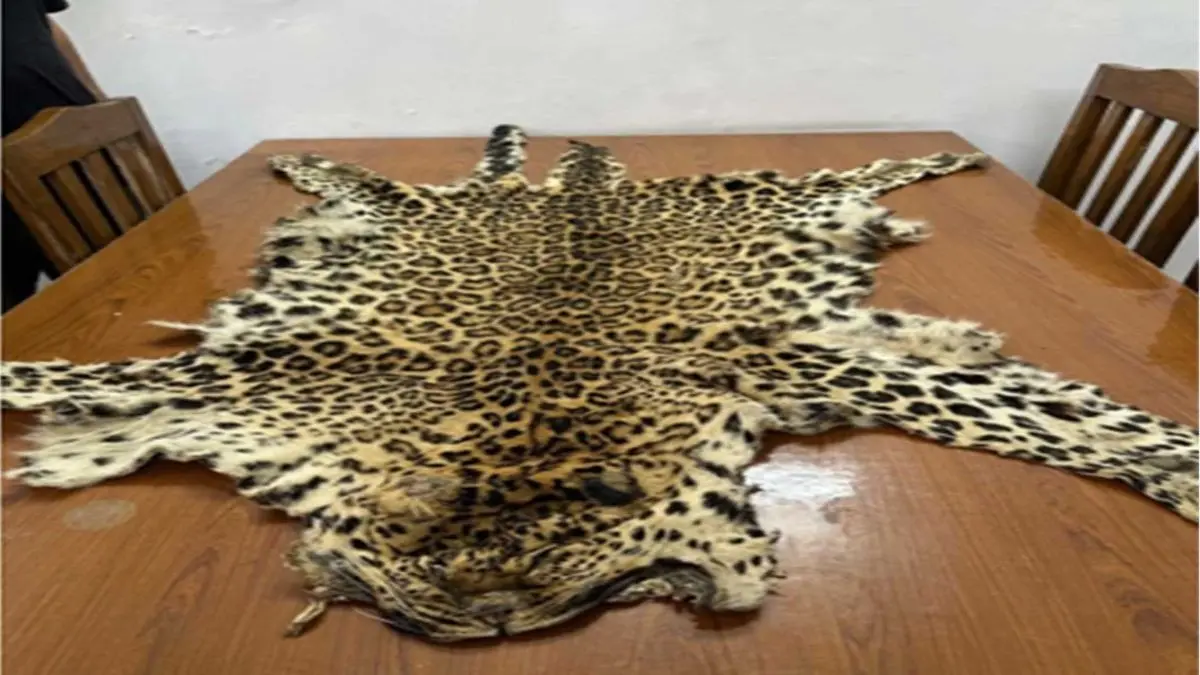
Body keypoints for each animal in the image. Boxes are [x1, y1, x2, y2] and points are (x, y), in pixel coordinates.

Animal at [3, 125, 1196, 642]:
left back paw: (949, 167)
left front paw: (1173, 459)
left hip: (754, 196)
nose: (482, 623)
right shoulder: (240, 386)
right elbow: (1042, 404)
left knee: (850, 172)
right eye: (419, 606)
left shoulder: (795, 358)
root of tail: (573, 186)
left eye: (537, 579)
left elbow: (1046, 419)